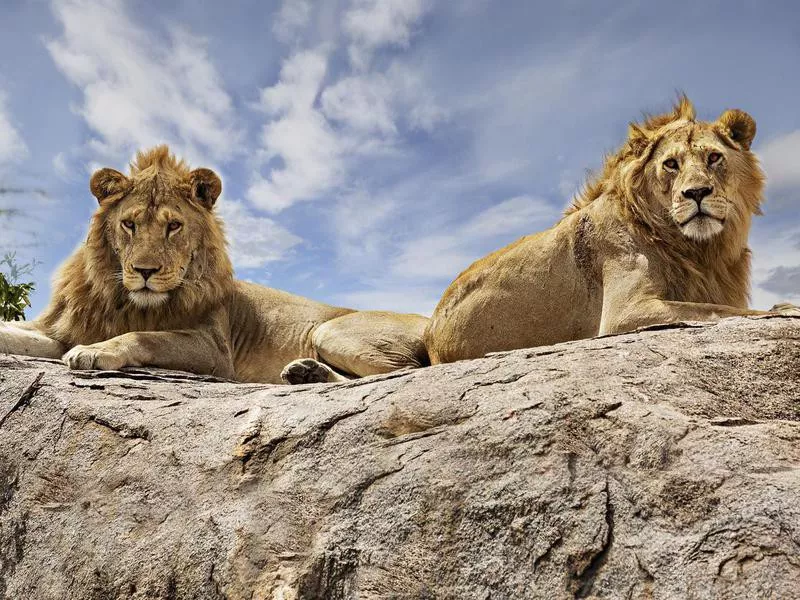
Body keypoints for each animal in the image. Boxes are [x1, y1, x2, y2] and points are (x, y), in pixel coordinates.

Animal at [0, 145, 432, 384]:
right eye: (129, 224)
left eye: (173, 226)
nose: (145, 272)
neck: (121, 298)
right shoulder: (60, 329)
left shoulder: (213, 349)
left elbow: (143, 336)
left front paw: (94, 352)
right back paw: (305, 373)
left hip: (332, 331)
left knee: (406, 371)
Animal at [424, 96, 792, 364]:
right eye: (671, 164)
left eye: (714, 158)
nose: (697, 193)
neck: (700, 249)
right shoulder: (624, 311)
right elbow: (724, 312)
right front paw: (786, 309)